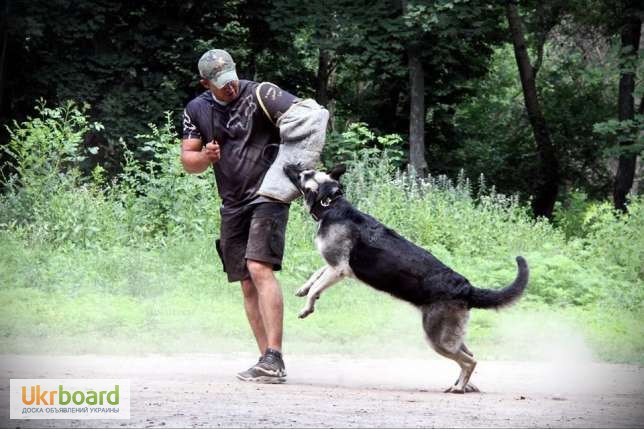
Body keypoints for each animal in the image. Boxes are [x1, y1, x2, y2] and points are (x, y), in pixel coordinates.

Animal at [282, 164, 528, 394]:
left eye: (305, 173)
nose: (286, 164)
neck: (330, 203)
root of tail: (467, 288)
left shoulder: (339, 269)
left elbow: (317, 286)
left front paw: (307, 307)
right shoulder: (334, 265)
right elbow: (315, 275)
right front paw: (303, 289)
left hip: (437, 338)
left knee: (470, 361)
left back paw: (459, 387)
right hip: (450, 335)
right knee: (469, 355)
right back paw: (462, 385)